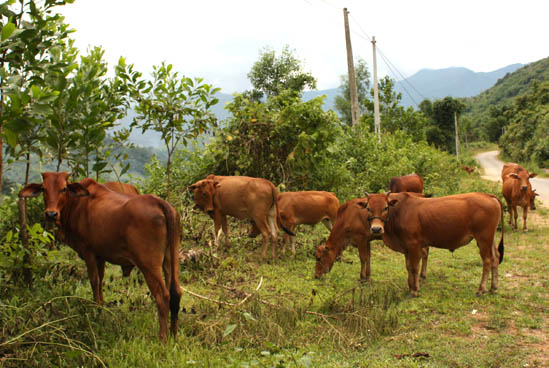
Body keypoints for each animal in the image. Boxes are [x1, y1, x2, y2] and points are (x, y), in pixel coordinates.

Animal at [18, 172, 182, 342]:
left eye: (63, 188)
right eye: (43, 189)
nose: (51, 214)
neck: (75, 203)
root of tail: (160, 203)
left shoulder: (88, 251)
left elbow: (94, 281)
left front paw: (96, 309)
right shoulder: (100, 255)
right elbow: (101, 278)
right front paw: (102, 305)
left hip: (149, 264)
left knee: (163, 296)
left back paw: (163, 339)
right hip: (171, 258)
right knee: (176, 293)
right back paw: (174, 335)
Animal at [358, 191, 504, 298]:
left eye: (386, 207)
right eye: (368, 208)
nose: (376, 229)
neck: (399, 211)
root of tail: (488, 196)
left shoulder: (414, 244)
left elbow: (414, 267)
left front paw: (414, 290)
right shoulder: (406, 247)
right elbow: (408, 267)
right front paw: (410, 287)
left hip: (483, 239)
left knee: (487, 261)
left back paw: (481, 289)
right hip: (490, 239)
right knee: (496, 258)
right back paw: (493, 287)